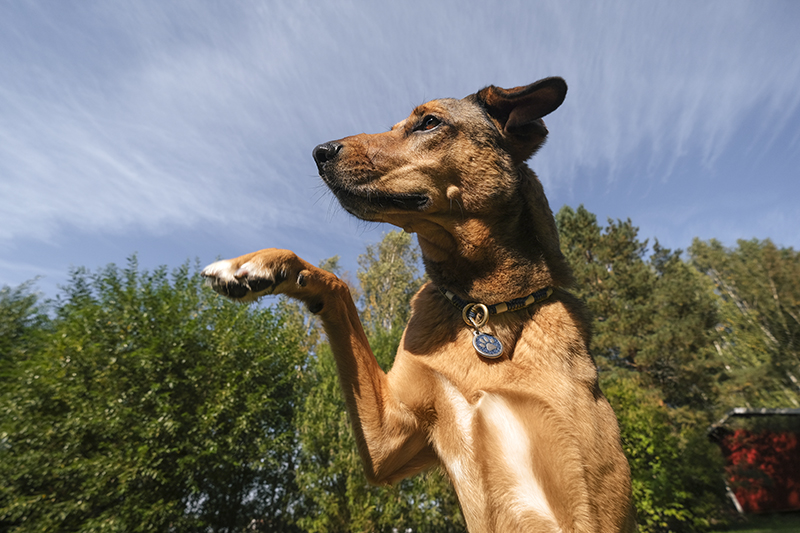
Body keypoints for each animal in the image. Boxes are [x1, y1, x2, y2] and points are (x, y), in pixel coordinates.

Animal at [202, 76, 636, 532]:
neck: (481, 309)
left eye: (429, 122)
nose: (319, 152)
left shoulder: (583, 505)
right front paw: (259, 265)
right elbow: (339, 289)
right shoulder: (389, 439)